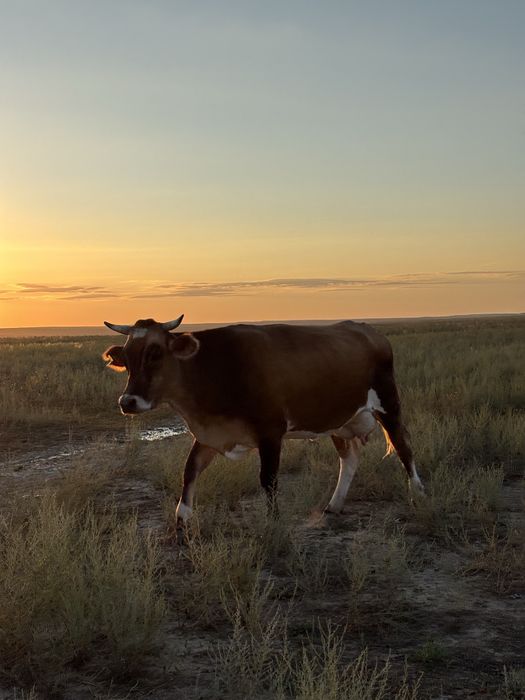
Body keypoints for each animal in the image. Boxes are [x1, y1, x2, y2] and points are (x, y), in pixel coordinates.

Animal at [102, 315, 424, 526]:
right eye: (126, 358)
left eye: (155, 353)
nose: (127, 402)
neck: (215, 366)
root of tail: (368, 330)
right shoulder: (211, 434)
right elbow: (190, 470)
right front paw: (182, 519)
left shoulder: (271, 432)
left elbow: (268, 479)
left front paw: (273, 522)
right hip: (339, 419)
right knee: (350, 458)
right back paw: (334, 504)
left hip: (388, 403)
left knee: (404, 447)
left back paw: (417, 493)